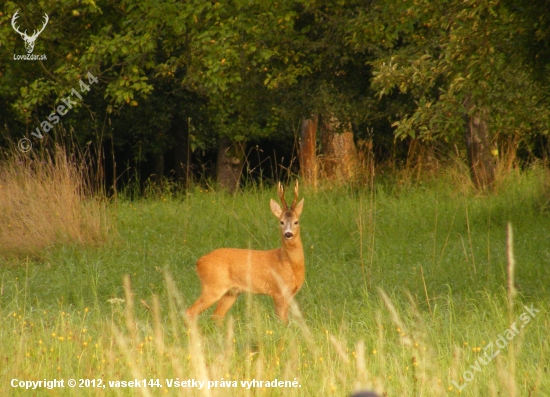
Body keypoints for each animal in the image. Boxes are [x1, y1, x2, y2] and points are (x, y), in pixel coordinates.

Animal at [188, 179, 304, 322]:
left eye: (296, 222)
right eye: (281, 222)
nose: (288, 234)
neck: (288, 263)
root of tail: (199, 262)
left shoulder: (289, 294)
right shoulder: (277, 291)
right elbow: (281, 320)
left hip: (231, 293)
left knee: (216, 316)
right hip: (213, 286)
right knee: (191, 312)